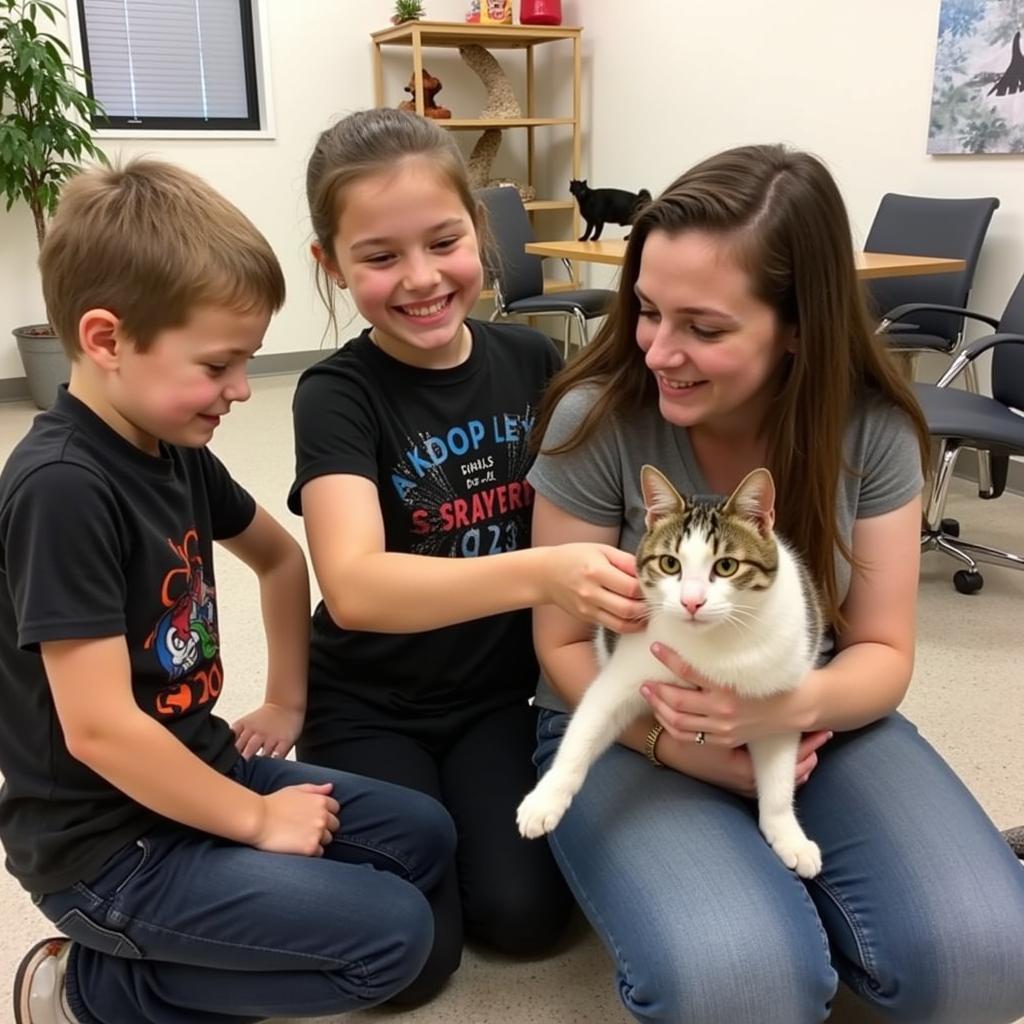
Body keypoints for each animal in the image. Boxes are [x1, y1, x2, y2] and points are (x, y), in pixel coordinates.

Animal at [520, 468, 823, 876]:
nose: (691, 602)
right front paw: (545, 800)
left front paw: (789, 836)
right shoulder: (625, 673)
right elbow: (583, 733)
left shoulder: (777, 703)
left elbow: (778, 781)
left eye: (726, 566)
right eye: (670, 564)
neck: (715, 640)